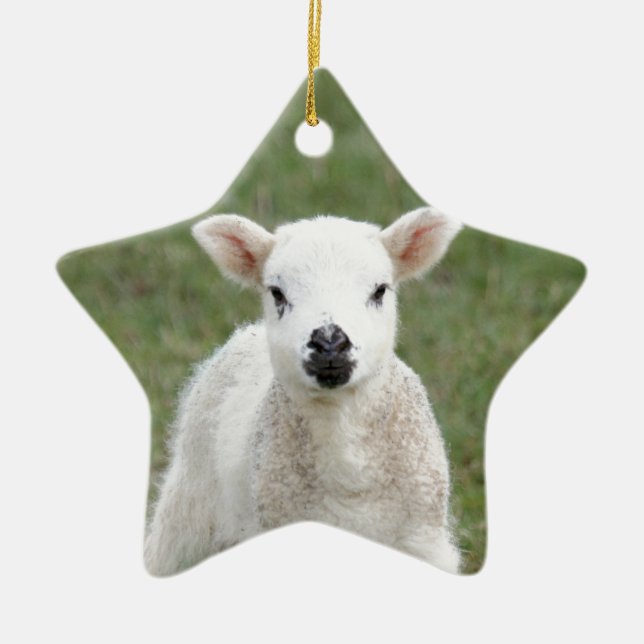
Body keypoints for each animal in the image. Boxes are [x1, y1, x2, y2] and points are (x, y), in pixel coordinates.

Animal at [144, 206, 462, 576]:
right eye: (277, 293)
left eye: (380, 290)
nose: (330, 343)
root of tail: (247, 332)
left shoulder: (422, 541)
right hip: (188, 507)